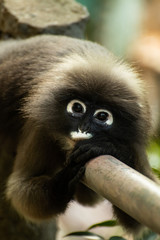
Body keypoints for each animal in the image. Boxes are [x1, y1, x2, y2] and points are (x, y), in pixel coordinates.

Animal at [0, 34, 156, 233]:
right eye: (77, 108)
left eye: (102, 116)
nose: (83, 129)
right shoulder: (40, 127)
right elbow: (20, 186)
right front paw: (61, 183)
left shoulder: (133, 142)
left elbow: (138, 206)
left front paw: (109, 148)